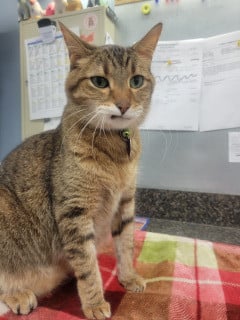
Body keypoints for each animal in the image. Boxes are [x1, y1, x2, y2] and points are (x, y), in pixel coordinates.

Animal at [0, 21, 163, 318]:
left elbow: (126, 245)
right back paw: (18, 293)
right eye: (99, 81)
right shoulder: (74, 213)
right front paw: (95, 302)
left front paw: (128, 277)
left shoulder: (125, 204)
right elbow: (88, 267)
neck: (115, 151)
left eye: (136, 81)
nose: (124, 105)